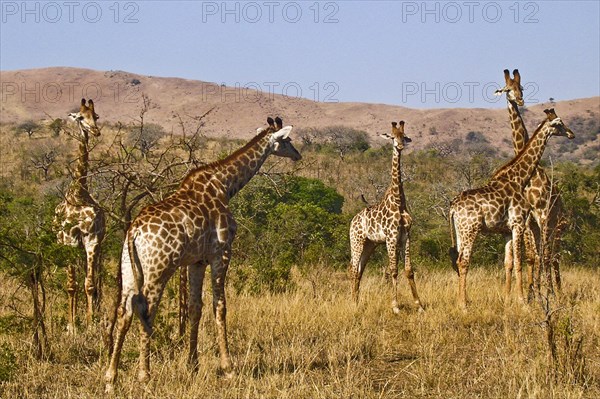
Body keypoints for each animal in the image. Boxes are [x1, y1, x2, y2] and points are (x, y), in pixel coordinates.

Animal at [105, 117, 302, 392]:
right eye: (287, 140)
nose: (297, 155)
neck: (226, 185)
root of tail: (133, 231)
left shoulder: (196, 261)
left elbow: (195, 307)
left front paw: (193, 365)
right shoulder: (222, 253)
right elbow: (220, 305)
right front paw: (228, 368)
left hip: (128, 266)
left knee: (124, 312)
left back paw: (110, 378)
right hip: (158, 270)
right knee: (146, 310)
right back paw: (145, 377)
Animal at [350, 120, 424, 314]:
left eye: (404, 136)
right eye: (392, 137)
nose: (400, 146)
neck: (398, 201)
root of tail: (352, 221)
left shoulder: (405, 235)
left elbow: (409, 270)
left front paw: (419, 305)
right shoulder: (391, 237)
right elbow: (393, 270)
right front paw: (395, 306)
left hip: (370, 244)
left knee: (359, 270)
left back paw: (356, 302)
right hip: (356, 241)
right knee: (352, 269)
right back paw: (351, 303)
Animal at [448, 108, 576, 310]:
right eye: (559, 124)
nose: (571, 134)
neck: (519, 179)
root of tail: (453, 207)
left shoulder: (507, 230)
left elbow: (508, 262)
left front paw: (508, 301)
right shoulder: (518, 224)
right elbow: (519, 262)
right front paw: (522, 301)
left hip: (460, 231)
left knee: (459, 261)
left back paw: (462, 301)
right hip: (471, 229)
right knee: (464, 261)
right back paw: (464, 306)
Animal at [496, 69, 568, 296]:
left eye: (521, 87)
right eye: (508, 89)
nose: (520, 100)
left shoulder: (539, 216)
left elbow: (537, 256)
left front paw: (539, 292)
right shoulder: (528, 220)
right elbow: (528, 257)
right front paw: (529, 292)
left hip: (557, 227)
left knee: (553, 256)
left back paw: (556, 291)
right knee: (545, 255)